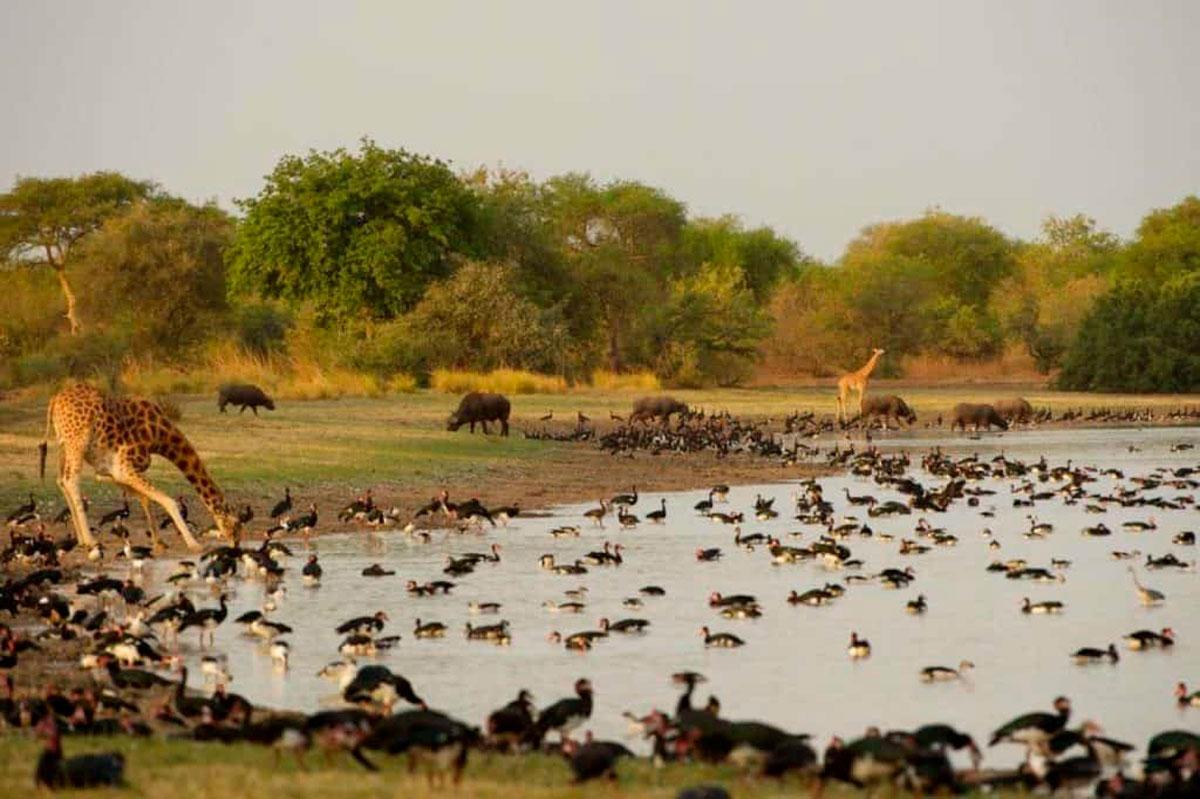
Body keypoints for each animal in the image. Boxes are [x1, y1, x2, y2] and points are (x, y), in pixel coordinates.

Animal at [37, 383, 240, 551]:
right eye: (237, 524)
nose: (236, 544)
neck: (160, 438)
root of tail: (55, 400)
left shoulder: (113, 471)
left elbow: (145, 498)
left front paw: (158, 542)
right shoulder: (124, 467)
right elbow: (169, 501)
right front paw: (194, 543)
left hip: (63, 444)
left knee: (61, 480)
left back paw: (81, 539)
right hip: (77, 442)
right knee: (71, 480)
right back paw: (90, 540)